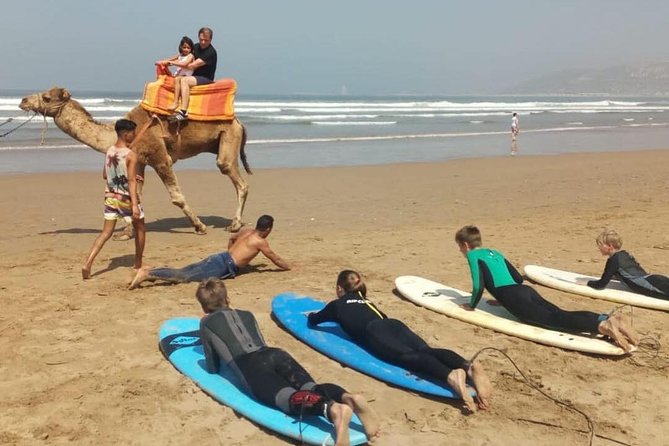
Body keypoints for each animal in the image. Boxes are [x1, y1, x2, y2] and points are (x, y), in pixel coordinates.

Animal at [20, 86, 252, 235]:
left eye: (47, 97)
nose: (23, 100)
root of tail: (238, 121)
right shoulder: (139, 161)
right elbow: (134, 196)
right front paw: (127, 231)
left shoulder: (159, 157)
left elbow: (176, 196)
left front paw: (199, 226)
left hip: (228, 136)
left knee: (236, 178)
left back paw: (234, 225)